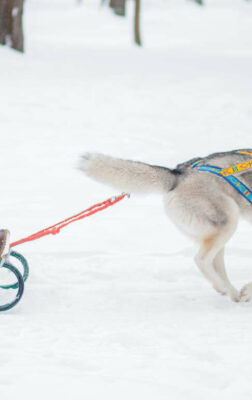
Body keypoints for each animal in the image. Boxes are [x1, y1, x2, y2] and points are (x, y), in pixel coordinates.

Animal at [79, 150, 252, 304]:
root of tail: (178, 174)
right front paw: (248, 292)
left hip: (218, 227)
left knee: (215, 262)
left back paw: (229, 292)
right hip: (229, 219)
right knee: (201, 260)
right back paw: (228, 289)